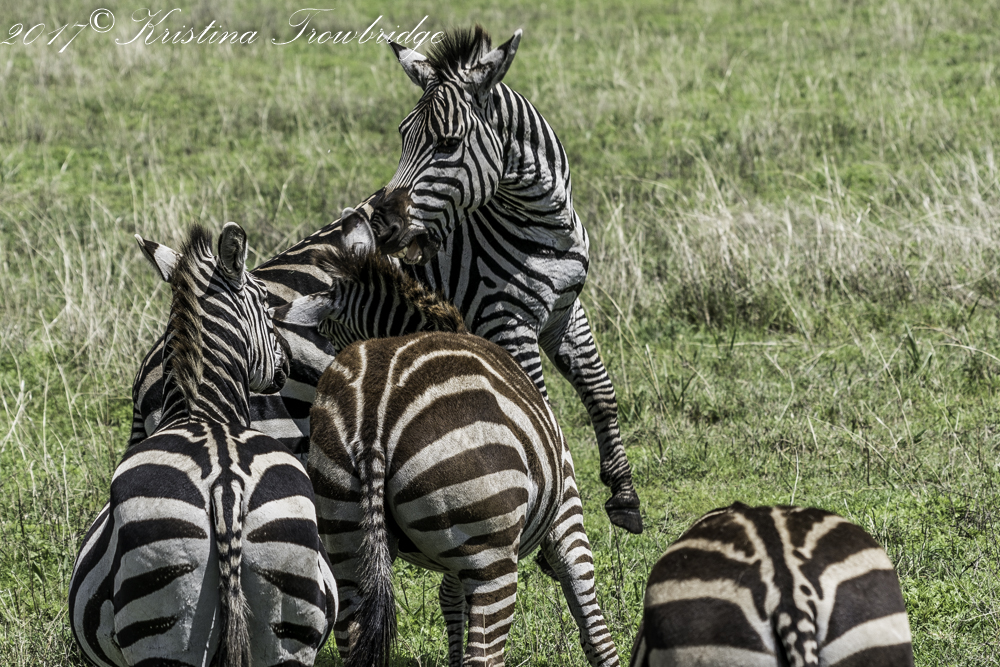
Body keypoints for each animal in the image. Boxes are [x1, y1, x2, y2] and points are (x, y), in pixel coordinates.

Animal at [69, 223, 337, 667]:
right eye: (267, 303)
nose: (285, 363)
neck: (206, 414)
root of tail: (226, 487)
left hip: (166, 619)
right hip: (286, 616)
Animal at [366, 26, 643, 534]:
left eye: (448, 143)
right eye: (402, 136)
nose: (381, 225)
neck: (546, 225)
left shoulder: (564, 311)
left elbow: (601, 390)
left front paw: (624, 496)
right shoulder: (506, 322)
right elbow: (540, 411)